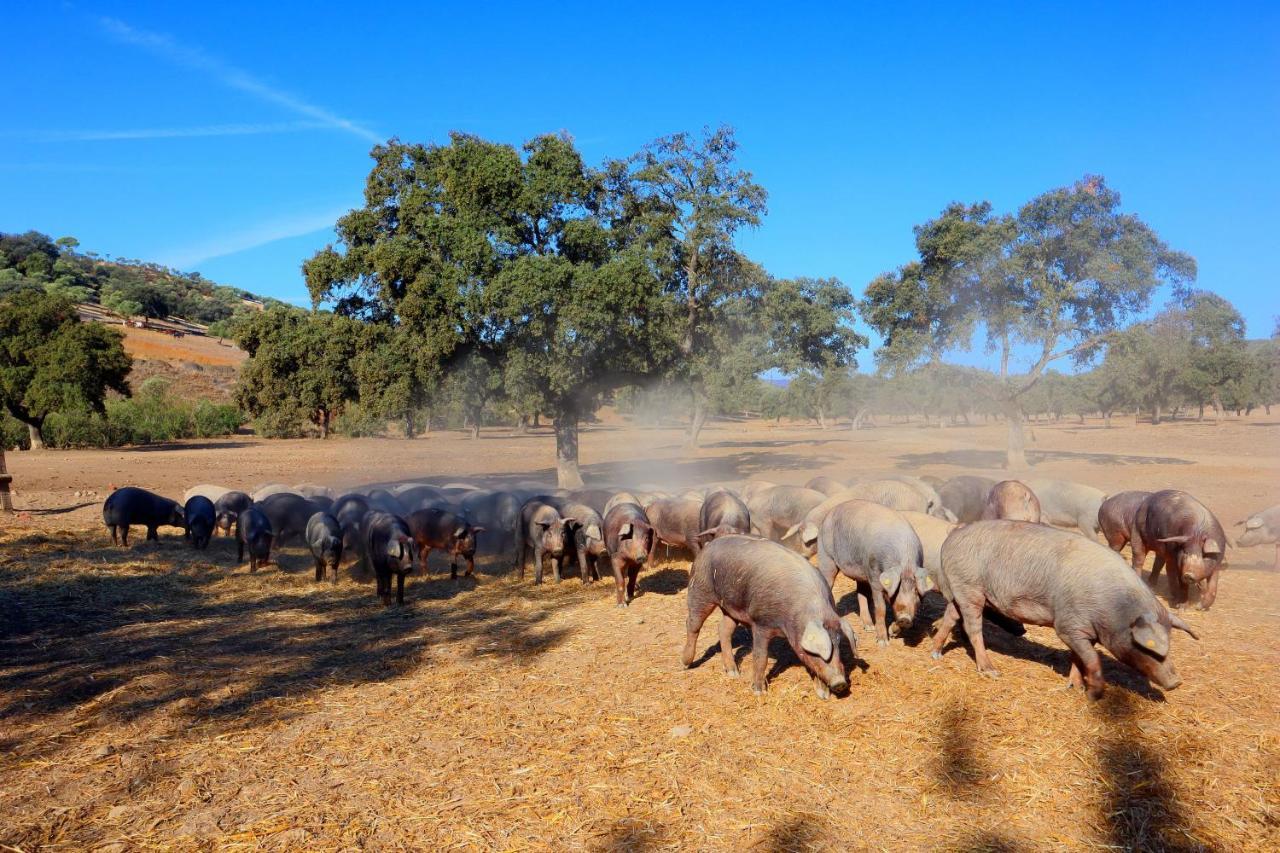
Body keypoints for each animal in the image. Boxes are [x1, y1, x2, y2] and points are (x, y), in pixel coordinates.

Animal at [686, 532, 855, 696]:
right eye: (819, 652)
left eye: (838, 645)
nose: (840, 683)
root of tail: (708, 545)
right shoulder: (760, 622)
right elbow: (761, 657)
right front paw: (759, 692)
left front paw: (823, 695)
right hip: (700, 589)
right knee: (692, 624)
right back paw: (686, 664)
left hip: (731, 607)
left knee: (723, 629)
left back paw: (734, 673)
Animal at [819, 499, 931, 645]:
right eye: (897, 589)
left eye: (916, 591)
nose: (905, 618)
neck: (906, 564)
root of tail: (829, 513)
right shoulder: (874, 577)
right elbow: (880, 609)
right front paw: (883, 642)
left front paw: (892, 632)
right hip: (826, 557)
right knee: (827, 582)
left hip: (861, 571)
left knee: (861, 593)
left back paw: (869, 627)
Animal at [931, 517, 1198, 696]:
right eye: (1149, 647)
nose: (1177, 682)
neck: (1113, 607)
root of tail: (951, 538)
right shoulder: (1068, 625)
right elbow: (1090, 658)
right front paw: (1093, 691)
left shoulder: (1084, 631)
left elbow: (1079, 657)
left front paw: (1075, 687)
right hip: (971, 587)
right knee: (973, 628)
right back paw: (991, 671)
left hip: (962, 589)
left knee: (951, 615)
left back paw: (935, 653)